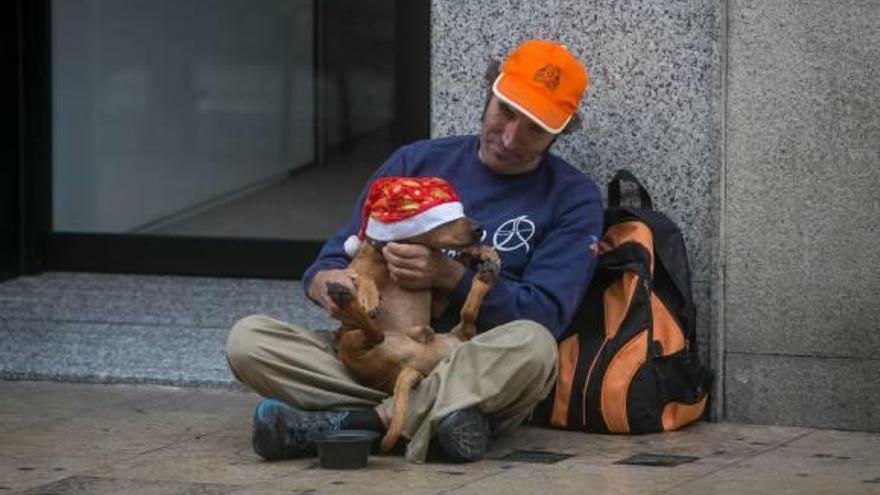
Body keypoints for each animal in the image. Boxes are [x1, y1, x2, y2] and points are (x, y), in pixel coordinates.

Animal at [326, 217, 498, 454]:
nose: (479, 230)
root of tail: (412, 367)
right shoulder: (352, 271)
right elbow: (363, 274)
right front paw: (369, 295)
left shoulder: (437, 304)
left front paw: (477, 253)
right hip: (354, 344)